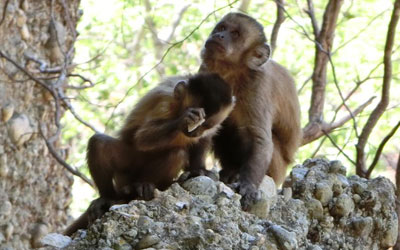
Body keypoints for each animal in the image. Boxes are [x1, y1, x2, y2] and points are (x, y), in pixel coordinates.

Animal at [64, 73, 236, 236]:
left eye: (207, 125)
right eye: (195, 121)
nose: (194, 132)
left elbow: (204, 139)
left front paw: (198, 170)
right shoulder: (165, 102)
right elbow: (143, 137)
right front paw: (184, 119)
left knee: (176, 154)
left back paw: (145, 186)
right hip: (126, 169)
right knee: (99, 143)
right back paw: (112, 197)